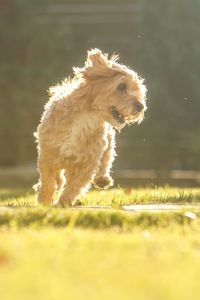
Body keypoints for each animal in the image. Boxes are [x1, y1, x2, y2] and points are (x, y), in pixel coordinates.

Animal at [34, 48, 147, 206]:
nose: (140, 106)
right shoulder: (48, 152)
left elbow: (75, 186)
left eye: (139, 89)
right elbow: (48, 180)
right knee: (57, 177)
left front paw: (63, 202)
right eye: (121, 86)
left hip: (108, 143)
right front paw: (44, 200)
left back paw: (102, 179)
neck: (86, 119)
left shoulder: (87, 162)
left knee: (106, 160)